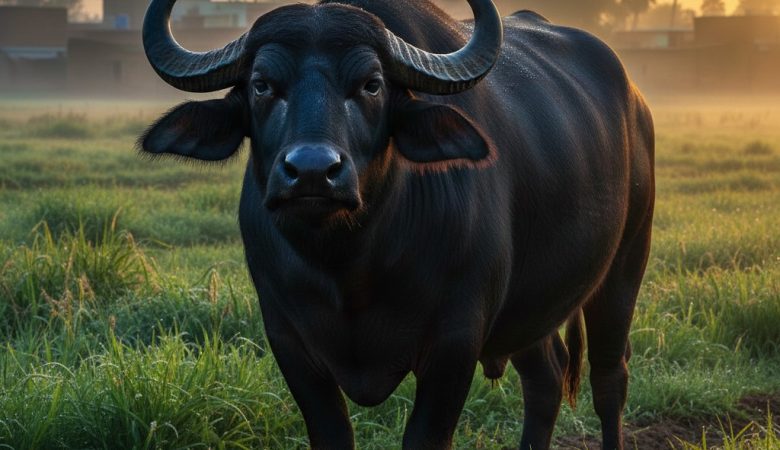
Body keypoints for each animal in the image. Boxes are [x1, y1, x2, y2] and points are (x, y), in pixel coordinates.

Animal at [140, 0, 655, 448]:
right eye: (262, 84)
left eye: (371, 84)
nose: (312, 171)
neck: (349, 267)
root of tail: (635, 100)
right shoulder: (288, 340)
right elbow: (331, 435)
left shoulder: (455, 343)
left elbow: (426, 437)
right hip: (533, 306)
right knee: (547, 377)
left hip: (626, 264)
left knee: (610, 378)